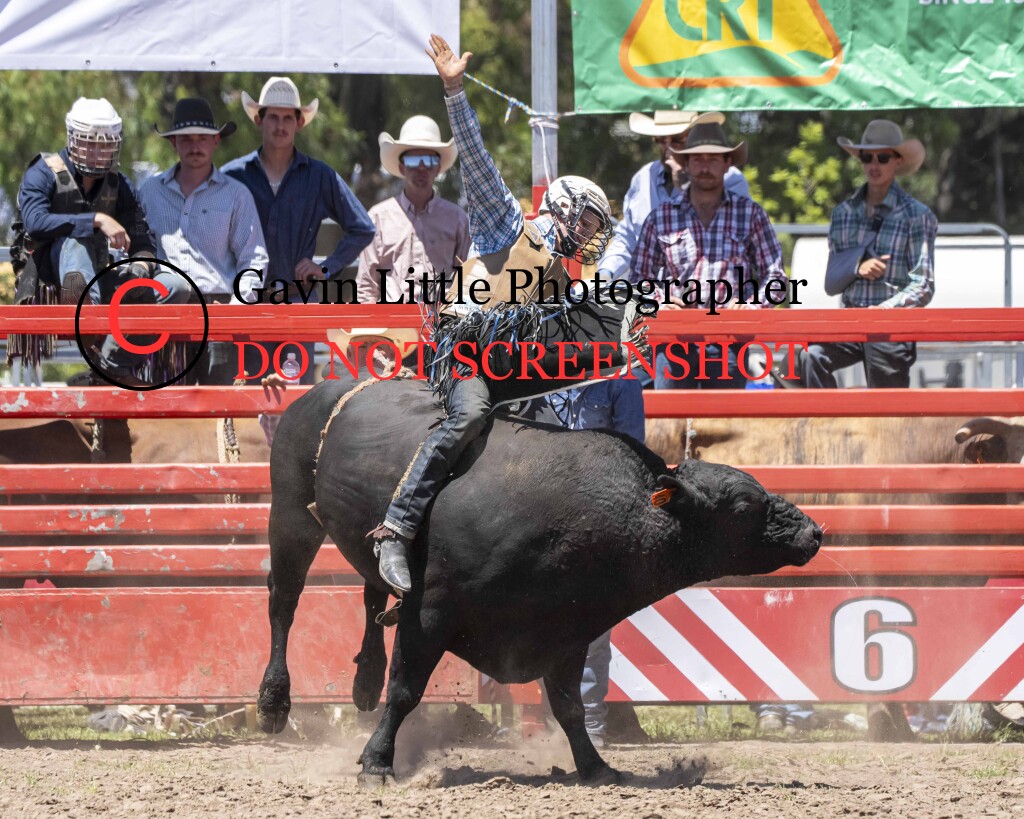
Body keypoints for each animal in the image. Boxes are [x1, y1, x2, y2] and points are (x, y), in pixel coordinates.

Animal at [257, 376, 822, 784]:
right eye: (744, 506)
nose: (813, 531)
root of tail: (323, 391)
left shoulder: (566, 628)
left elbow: (570, 707)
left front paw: (595, 767)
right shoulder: (430, 612)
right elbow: (406, 691)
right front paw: (376, 761)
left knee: (374, 590)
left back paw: (363, 681)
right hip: (290, 515)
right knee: (284, 603)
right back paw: (273, 703)